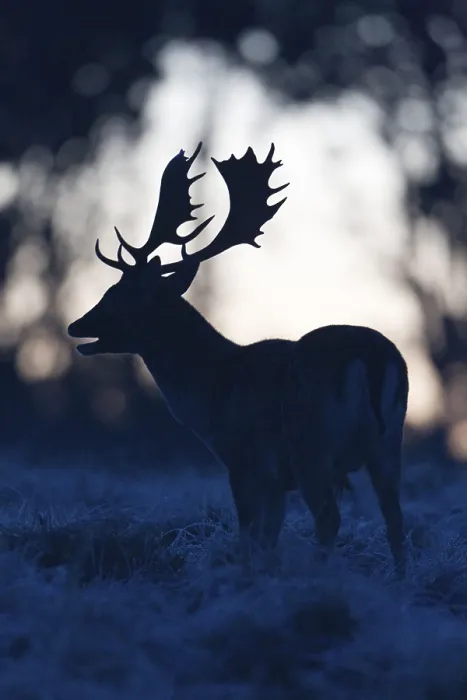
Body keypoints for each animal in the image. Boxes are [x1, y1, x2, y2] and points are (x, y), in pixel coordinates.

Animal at [68, 142, 409, 575]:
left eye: (119, 297)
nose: (76, 325)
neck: (211, 392)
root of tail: (372, 360)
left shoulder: (245, 458)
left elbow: (249, 532)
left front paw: (245, 574)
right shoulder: (276, 479)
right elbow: (269, 536)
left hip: (311, 442)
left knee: (330, 518)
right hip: (389, 443)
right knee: (395, 518)